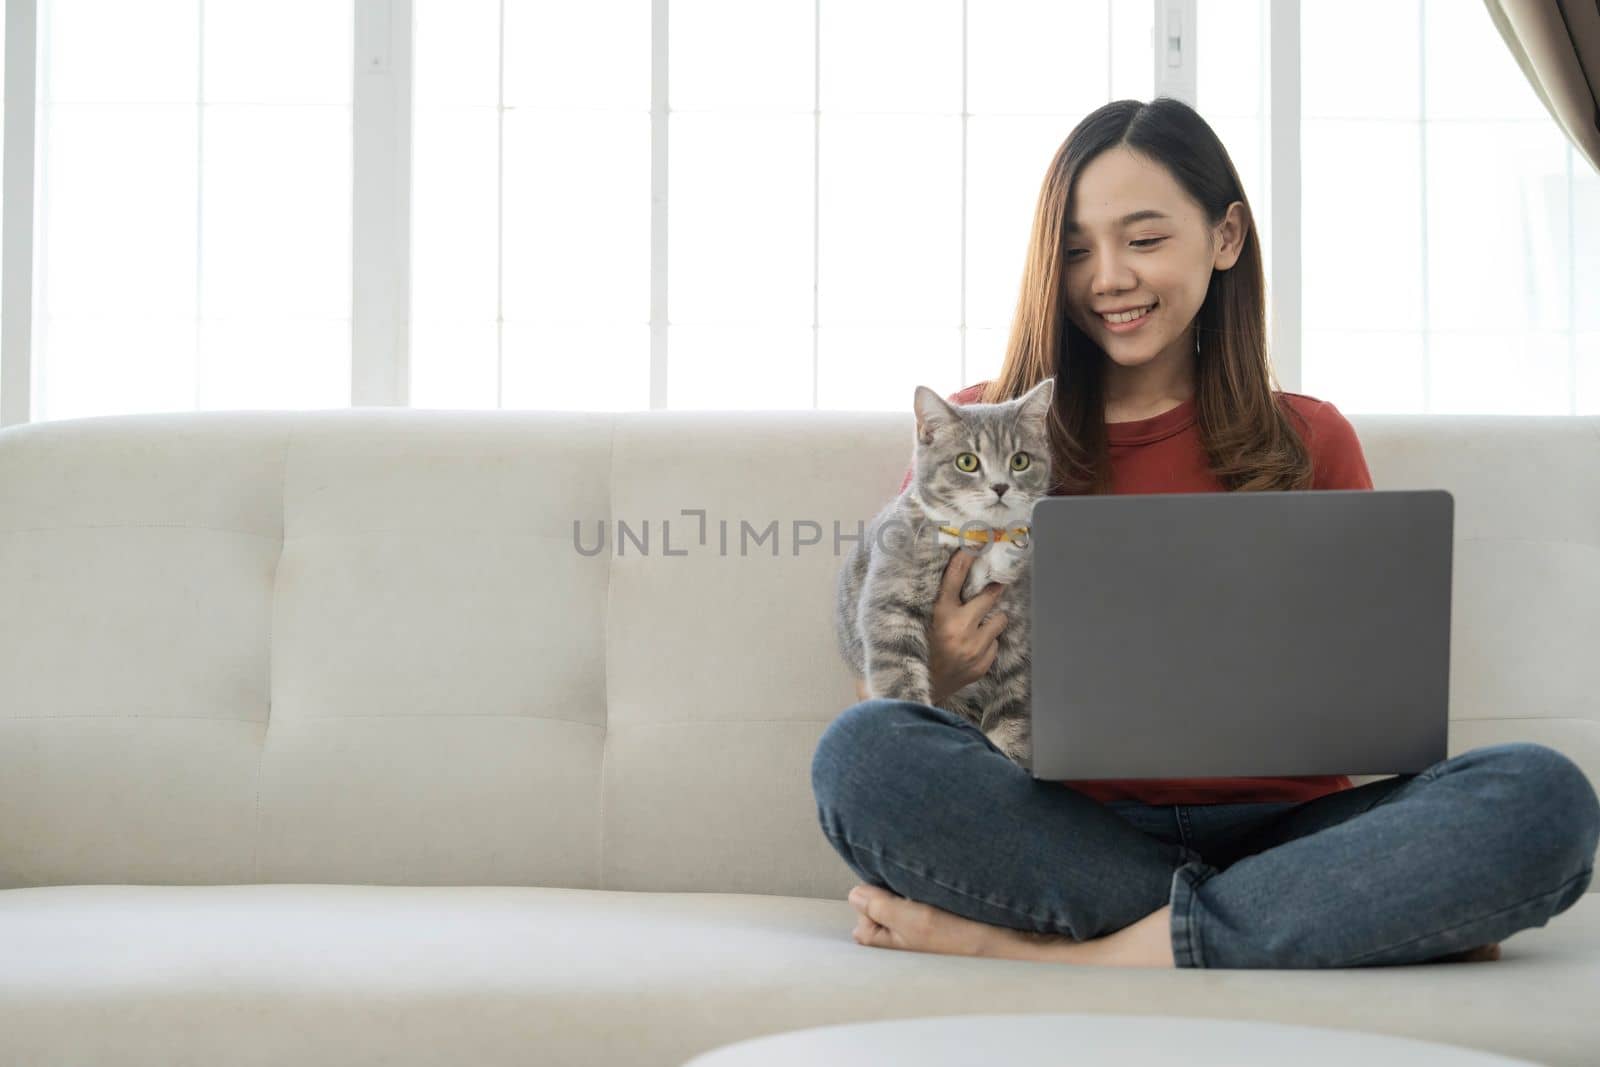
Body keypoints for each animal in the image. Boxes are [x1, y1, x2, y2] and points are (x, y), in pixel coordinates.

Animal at [832, 375, 1056, 767]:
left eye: (1020, 460)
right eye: (967, 461)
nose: (1000, 486)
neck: (981, 540)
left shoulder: (1017, 637)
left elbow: (1012, 717)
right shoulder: (890, 601)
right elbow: (899, 676)